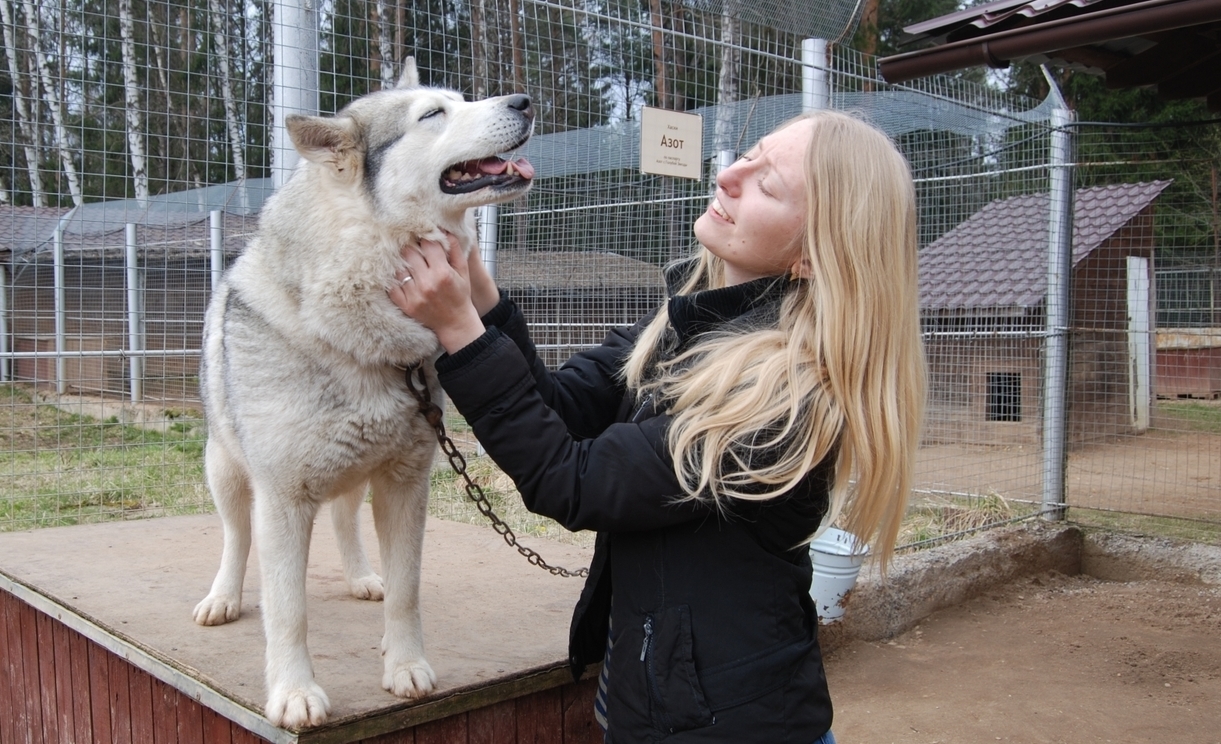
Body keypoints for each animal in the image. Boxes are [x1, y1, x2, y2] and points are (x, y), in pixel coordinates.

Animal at [191, 59, 534, 733]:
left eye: (461, 99)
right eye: (433, 114)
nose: (525, 101)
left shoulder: (405, 483)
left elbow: (407, 590)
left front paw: (406, 668)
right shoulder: (282, 498)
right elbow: (288, 610)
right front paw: (294, 694)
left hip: (355, 476)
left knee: (345, 520)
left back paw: (360, 576)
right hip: (229, 472)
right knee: (235, 537)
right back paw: (223, 596)